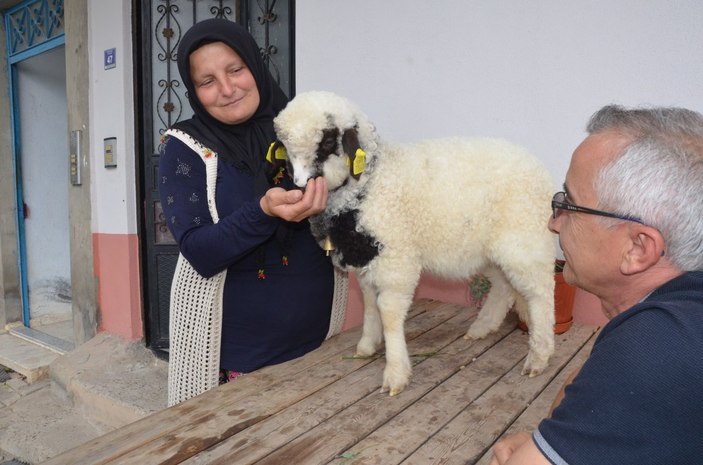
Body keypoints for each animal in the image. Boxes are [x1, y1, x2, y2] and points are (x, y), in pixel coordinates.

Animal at [274, 90, 556, 396]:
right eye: (285, 147)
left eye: (327, 141)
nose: (301, 185)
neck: (371, 183)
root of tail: (540, 169)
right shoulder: (369, 261)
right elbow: (370, 304)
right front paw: (366, 346)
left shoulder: (396, 261)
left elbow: (388, 312)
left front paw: (395, 374)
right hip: (490, 248)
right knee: (504, 287)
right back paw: (482, 328)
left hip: (524, 240)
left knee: (540, 293)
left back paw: (539, 356)